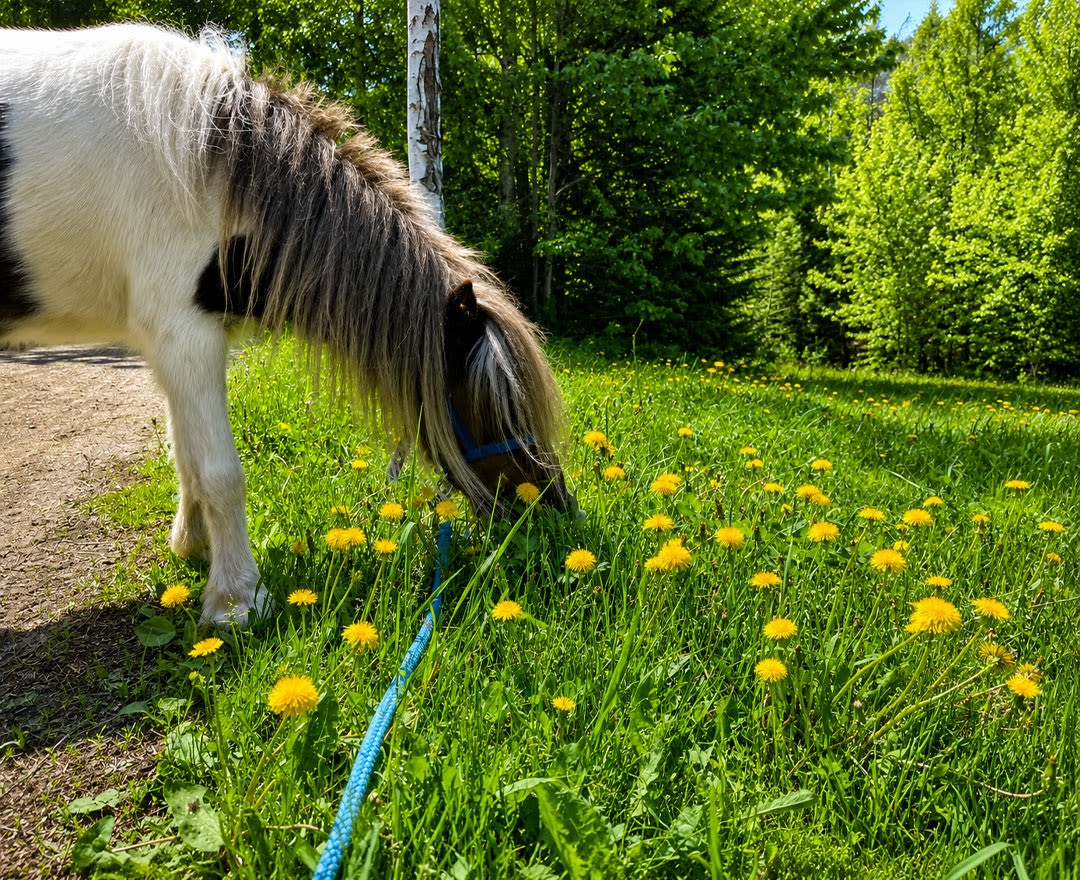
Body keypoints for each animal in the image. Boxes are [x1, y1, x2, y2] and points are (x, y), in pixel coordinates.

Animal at [0, 23, 567, 626]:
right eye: (488, 406)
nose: (557, 511)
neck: (213, 167)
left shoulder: (177, 344)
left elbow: (186, 456)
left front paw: (194, 551)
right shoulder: (185, 335)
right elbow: (220, 472)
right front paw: (237, 601)